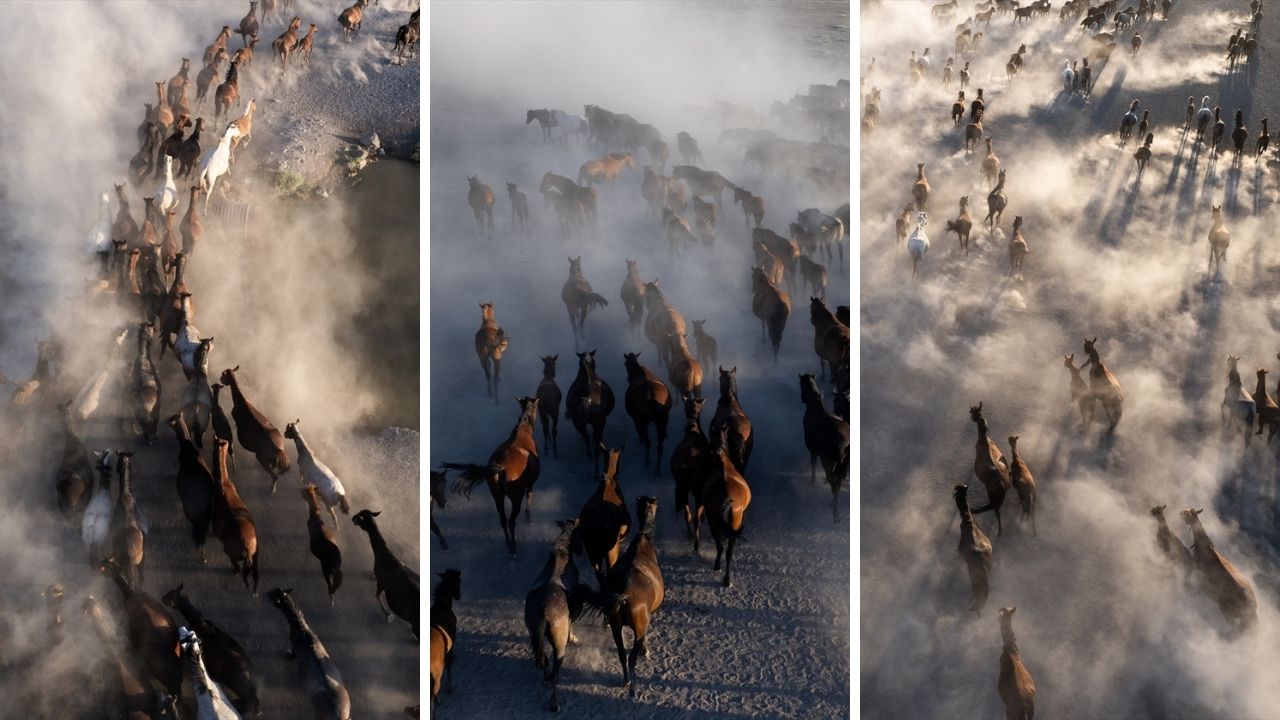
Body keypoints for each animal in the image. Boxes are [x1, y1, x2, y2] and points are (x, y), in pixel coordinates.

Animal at [220, 363, 290, 491]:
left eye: (223, 375)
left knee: (274, 475)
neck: (240, 401)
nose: (220, 380)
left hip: (262, 458)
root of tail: (278, 450)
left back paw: (271, 490)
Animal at [350, 507, 419, 635]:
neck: (384, 555)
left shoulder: (382, 582)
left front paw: (388, 615)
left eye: (359, 517)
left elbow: (377, 596)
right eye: (362, 512)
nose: (352, 518)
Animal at [445, 394, 540, 550]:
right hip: (515, 498)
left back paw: (508, 542)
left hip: (497, 496)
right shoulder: (531, 482)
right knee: (511, 521)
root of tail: (501, 468)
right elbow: (529, 496)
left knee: (502, 519)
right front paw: (528, 517)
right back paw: (514, 545)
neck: (523, 431)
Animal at [798, 368, 849, 520]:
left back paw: (835, 513)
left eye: (800, 384)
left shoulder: (813, 449)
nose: (802, 398)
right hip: (843, 462)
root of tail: (842, 441)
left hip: (828, 460)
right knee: (837, 482)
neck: (815, 407)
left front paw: (813, 482)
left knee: (834, 483)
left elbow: (813, 463)